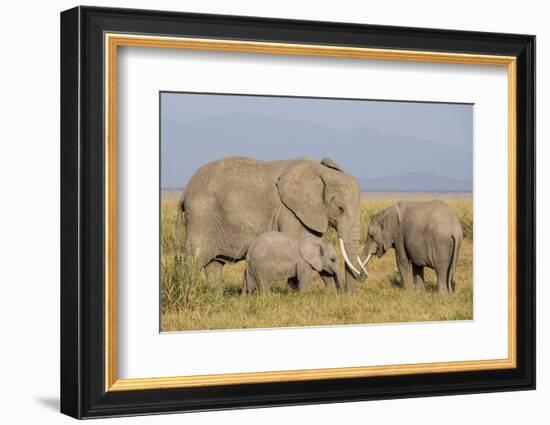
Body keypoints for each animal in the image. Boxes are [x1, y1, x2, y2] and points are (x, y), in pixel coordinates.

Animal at [181, 156, 368, 292]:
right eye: (341, 208)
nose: (346, 294)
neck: (321, 173)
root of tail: (185, 191)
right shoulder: (290, 212)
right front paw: (295, 292)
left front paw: (329, 294)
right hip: (200, 217)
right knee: (194, 259)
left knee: (214, 265)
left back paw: (217, 295)